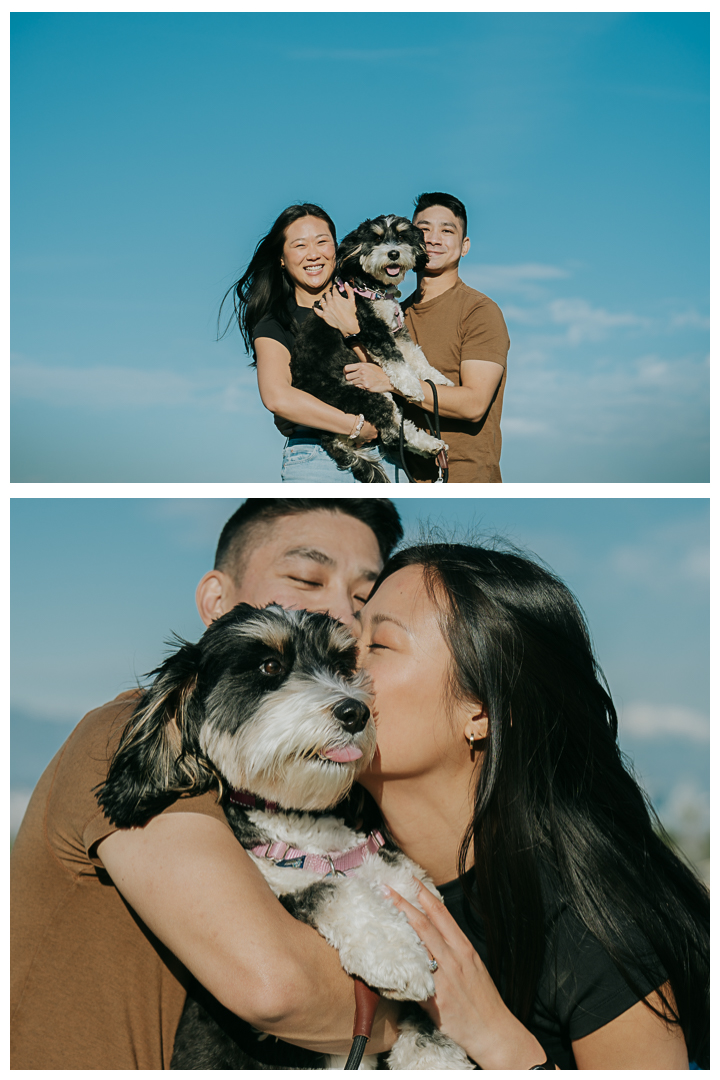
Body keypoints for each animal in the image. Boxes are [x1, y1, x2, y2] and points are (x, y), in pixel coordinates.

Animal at [97, 609, 472, 1071]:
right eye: (270, 666)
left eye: (342, 666)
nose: (355, 711)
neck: (313, 835)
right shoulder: (277, 894)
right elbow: (329, 890)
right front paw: (396, 951)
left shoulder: (417, 895)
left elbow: (430, 1025)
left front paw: (436, 1056)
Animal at [289, 214, 453, 486]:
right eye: (376, 239)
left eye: (401, 236)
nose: (394, 253)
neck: (373, 288)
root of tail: (329, 437)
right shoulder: (372, 328)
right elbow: (397, 360)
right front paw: (412, 386)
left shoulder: (398, 331)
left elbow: (416, 357)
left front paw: (437, 379)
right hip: (363, 396)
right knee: (393, 431)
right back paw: (429, 444)